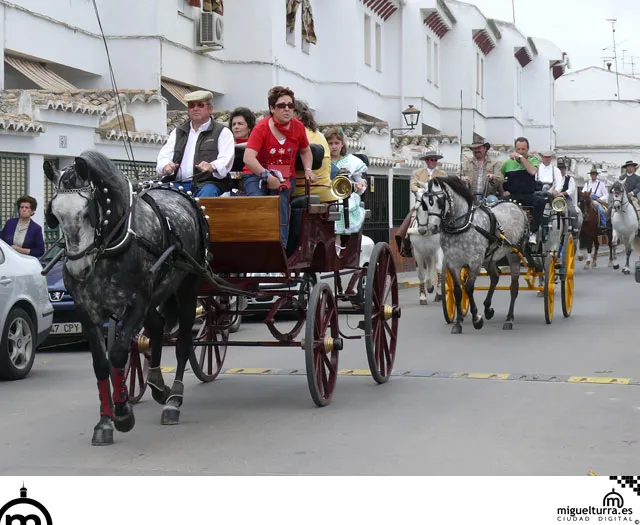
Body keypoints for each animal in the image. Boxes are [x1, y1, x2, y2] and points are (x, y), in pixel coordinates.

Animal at [420, 175, 528, 332]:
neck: (462, 225)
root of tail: (515, 205)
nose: (433, 227)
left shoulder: (475, 261)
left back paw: (509, 319)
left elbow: (469, 287)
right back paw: (488, 309)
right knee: (495, 276)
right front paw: (458, 323)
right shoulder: (453, 263)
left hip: (513, 253)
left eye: (440, 201)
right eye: (425, 204)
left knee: (514, 286)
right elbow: (458, 291)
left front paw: (477, 319)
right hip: (489, 257)